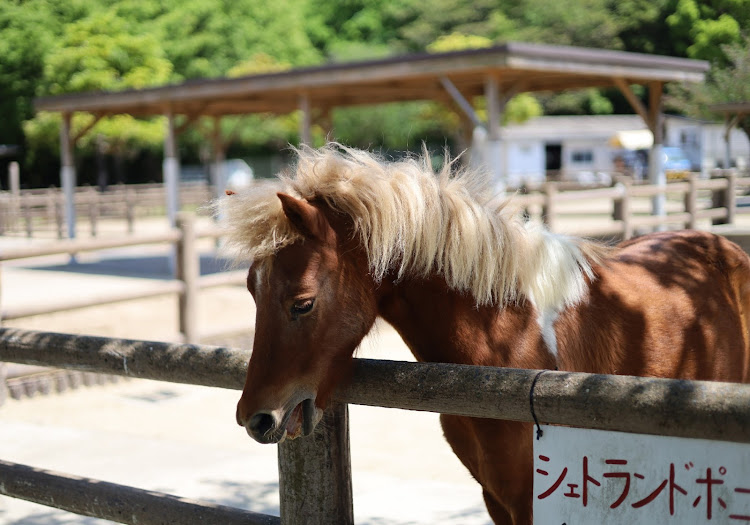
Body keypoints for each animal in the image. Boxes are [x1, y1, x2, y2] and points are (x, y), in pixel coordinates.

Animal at [220, 143, 750, 524]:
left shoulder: (536, 498)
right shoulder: (497, 498)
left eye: (302, 303)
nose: (255, 418)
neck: (506, 346)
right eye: (251, 292)